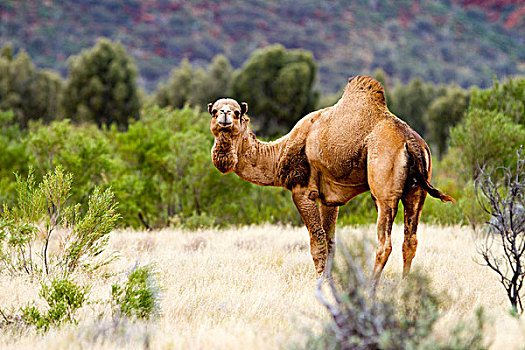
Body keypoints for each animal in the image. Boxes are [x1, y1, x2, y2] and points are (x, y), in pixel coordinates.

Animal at [207, 76, 452, 282]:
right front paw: (329, 278)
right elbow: (330, 240)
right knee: (410, 240)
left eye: (237, 112)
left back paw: (371, 286)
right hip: (416, 190)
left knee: (384, 243)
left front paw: (320, 282)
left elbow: (317, 242)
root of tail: (411, 141)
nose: (225, 116)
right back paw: (406, 284)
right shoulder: (330, 199)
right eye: (215, 111)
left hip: (384, 190)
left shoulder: (302, 191)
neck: (279, 154)